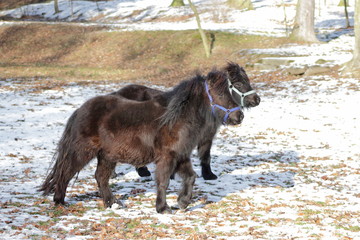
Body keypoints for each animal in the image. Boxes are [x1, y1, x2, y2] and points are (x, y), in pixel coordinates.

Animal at [40, 64, 245, 214]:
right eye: (220, 93)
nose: (240, 116)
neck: (176, 118)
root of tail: (80, 110)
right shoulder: (167, 157)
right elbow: (163, 181)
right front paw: (163, 208)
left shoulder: (180, 156)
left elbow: (191, 177)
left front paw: (182, 202)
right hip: (83, 152)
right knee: (66, 173)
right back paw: (60, 202)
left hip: (107, 156)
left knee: (101, 177)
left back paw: (112, 203)